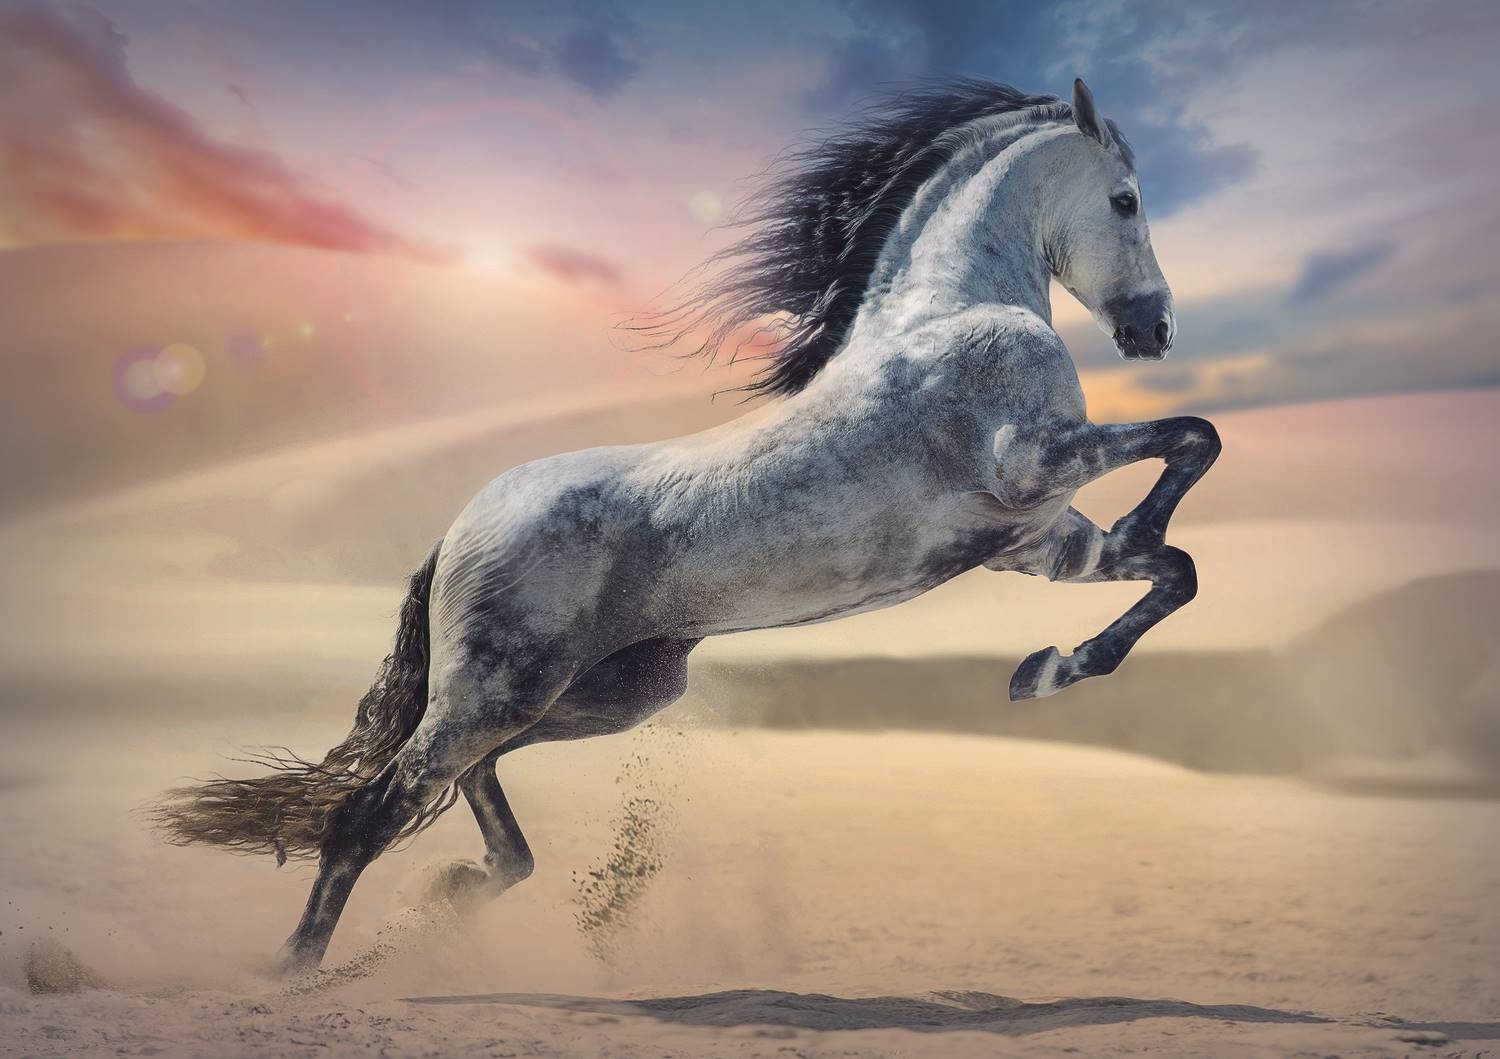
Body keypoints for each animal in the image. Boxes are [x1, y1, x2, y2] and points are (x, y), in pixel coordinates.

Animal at [154, 77, 1220, 974]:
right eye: (1127, 199)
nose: (1156, 331)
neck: (950, 313)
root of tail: (455, 530)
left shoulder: (1038, 542)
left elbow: (1175, 567)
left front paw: (1048, 668)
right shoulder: (1032, 461)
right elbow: (1194, 440)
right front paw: (1077, 623)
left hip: (597, 694)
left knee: (466, 783)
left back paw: (460, 889)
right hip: (502, 688)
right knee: (372, 809)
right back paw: (296, 970)